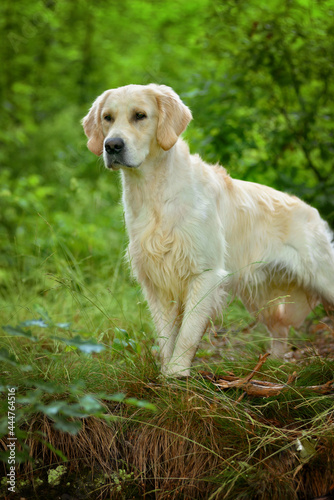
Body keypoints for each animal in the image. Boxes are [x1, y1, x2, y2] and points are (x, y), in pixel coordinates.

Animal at [82, 84, 334, 376]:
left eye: (140, 115)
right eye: (107, 118)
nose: (112, 145)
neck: (155, 193)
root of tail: (313, 212)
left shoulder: (204, 274)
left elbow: (188, 333)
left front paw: (177, 374)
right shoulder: (156, 280)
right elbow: (165, 336)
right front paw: (165, 373)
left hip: (323, 278)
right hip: (260, 296)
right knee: (279, 331)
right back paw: (274, 366)